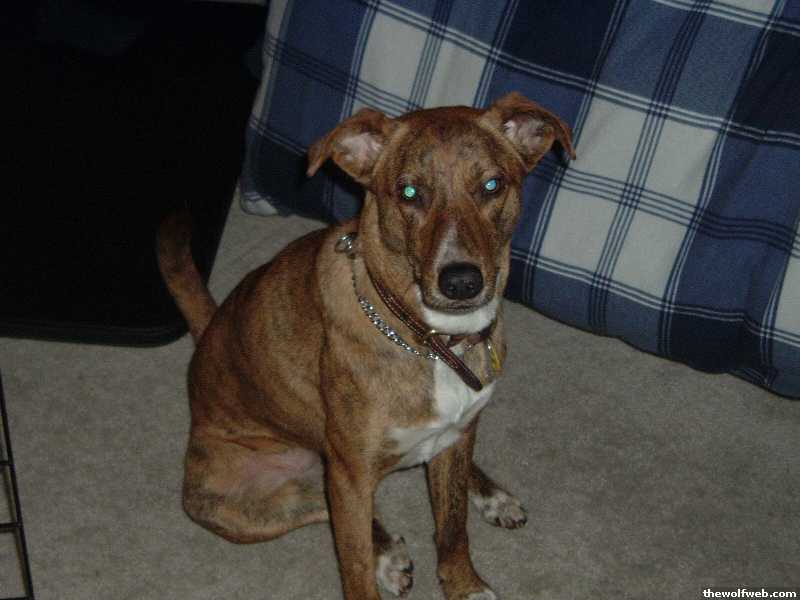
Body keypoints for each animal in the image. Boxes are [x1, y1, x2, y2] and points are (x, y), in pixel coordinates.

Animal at [158, 92, 574, 600]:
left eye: (492, 185)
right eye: (408, 193)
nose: (460, 282)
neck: (430, 341)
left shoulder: (455, 440)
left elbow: (452, 527)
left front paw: (464, 585)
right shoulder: (350, 476)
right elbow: (354, 564)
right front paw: (382, 563)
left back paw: (489, 495)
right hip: (243, 505)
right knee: (321, 507)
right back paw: (387, 555)